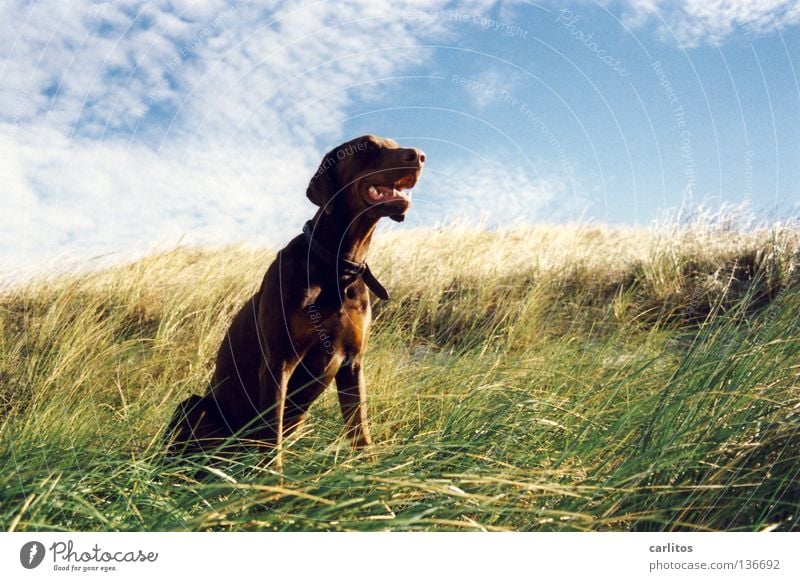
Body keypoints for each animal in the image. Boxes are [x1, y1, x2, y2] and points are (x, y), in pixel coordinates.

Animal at [167, 134, 424, 464]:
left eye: (393, 143)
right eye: (367, 146)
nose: (419, 156)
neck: (337, 267)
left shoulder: (353, 365)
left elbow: (360, 431)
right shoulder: (279, 363)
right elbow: (271, 444)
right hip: (194, 406)